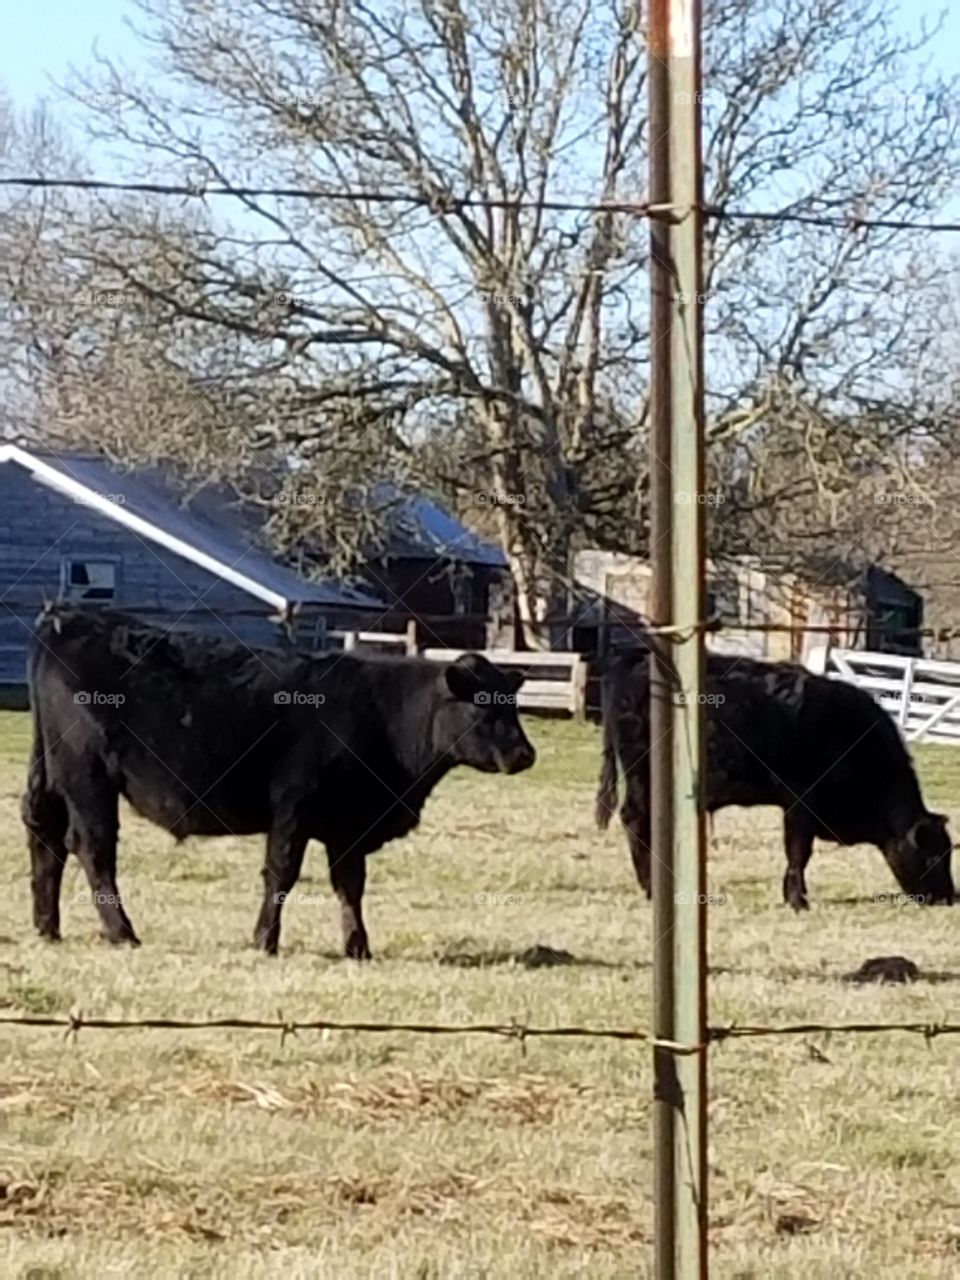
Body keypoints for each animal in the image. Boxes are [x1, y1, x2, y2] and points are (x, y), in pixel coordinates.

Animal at [22, 607, 536, 958]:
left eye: (510, 703)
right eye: (482, 705)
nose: (524, 754)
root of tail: (66, 620)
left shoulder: (348, 825)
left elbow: (350, 884)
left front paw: (358, 947)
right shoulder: (294, 806)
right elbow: (282, 873)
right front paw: (264, 941)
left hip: (52, 776)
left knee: (47, 838)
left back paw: (48, 928)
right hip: (87, 777)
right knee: (92, 848)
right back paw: (122, 932)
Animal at [595, 646, 955, 908]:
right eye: (935, 854)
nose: (950, 897)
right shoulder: (800, 801)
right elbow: (798, 851)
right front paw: (798, 901)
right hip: (640, 774)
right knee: (634, 819)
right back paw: (650, 888)